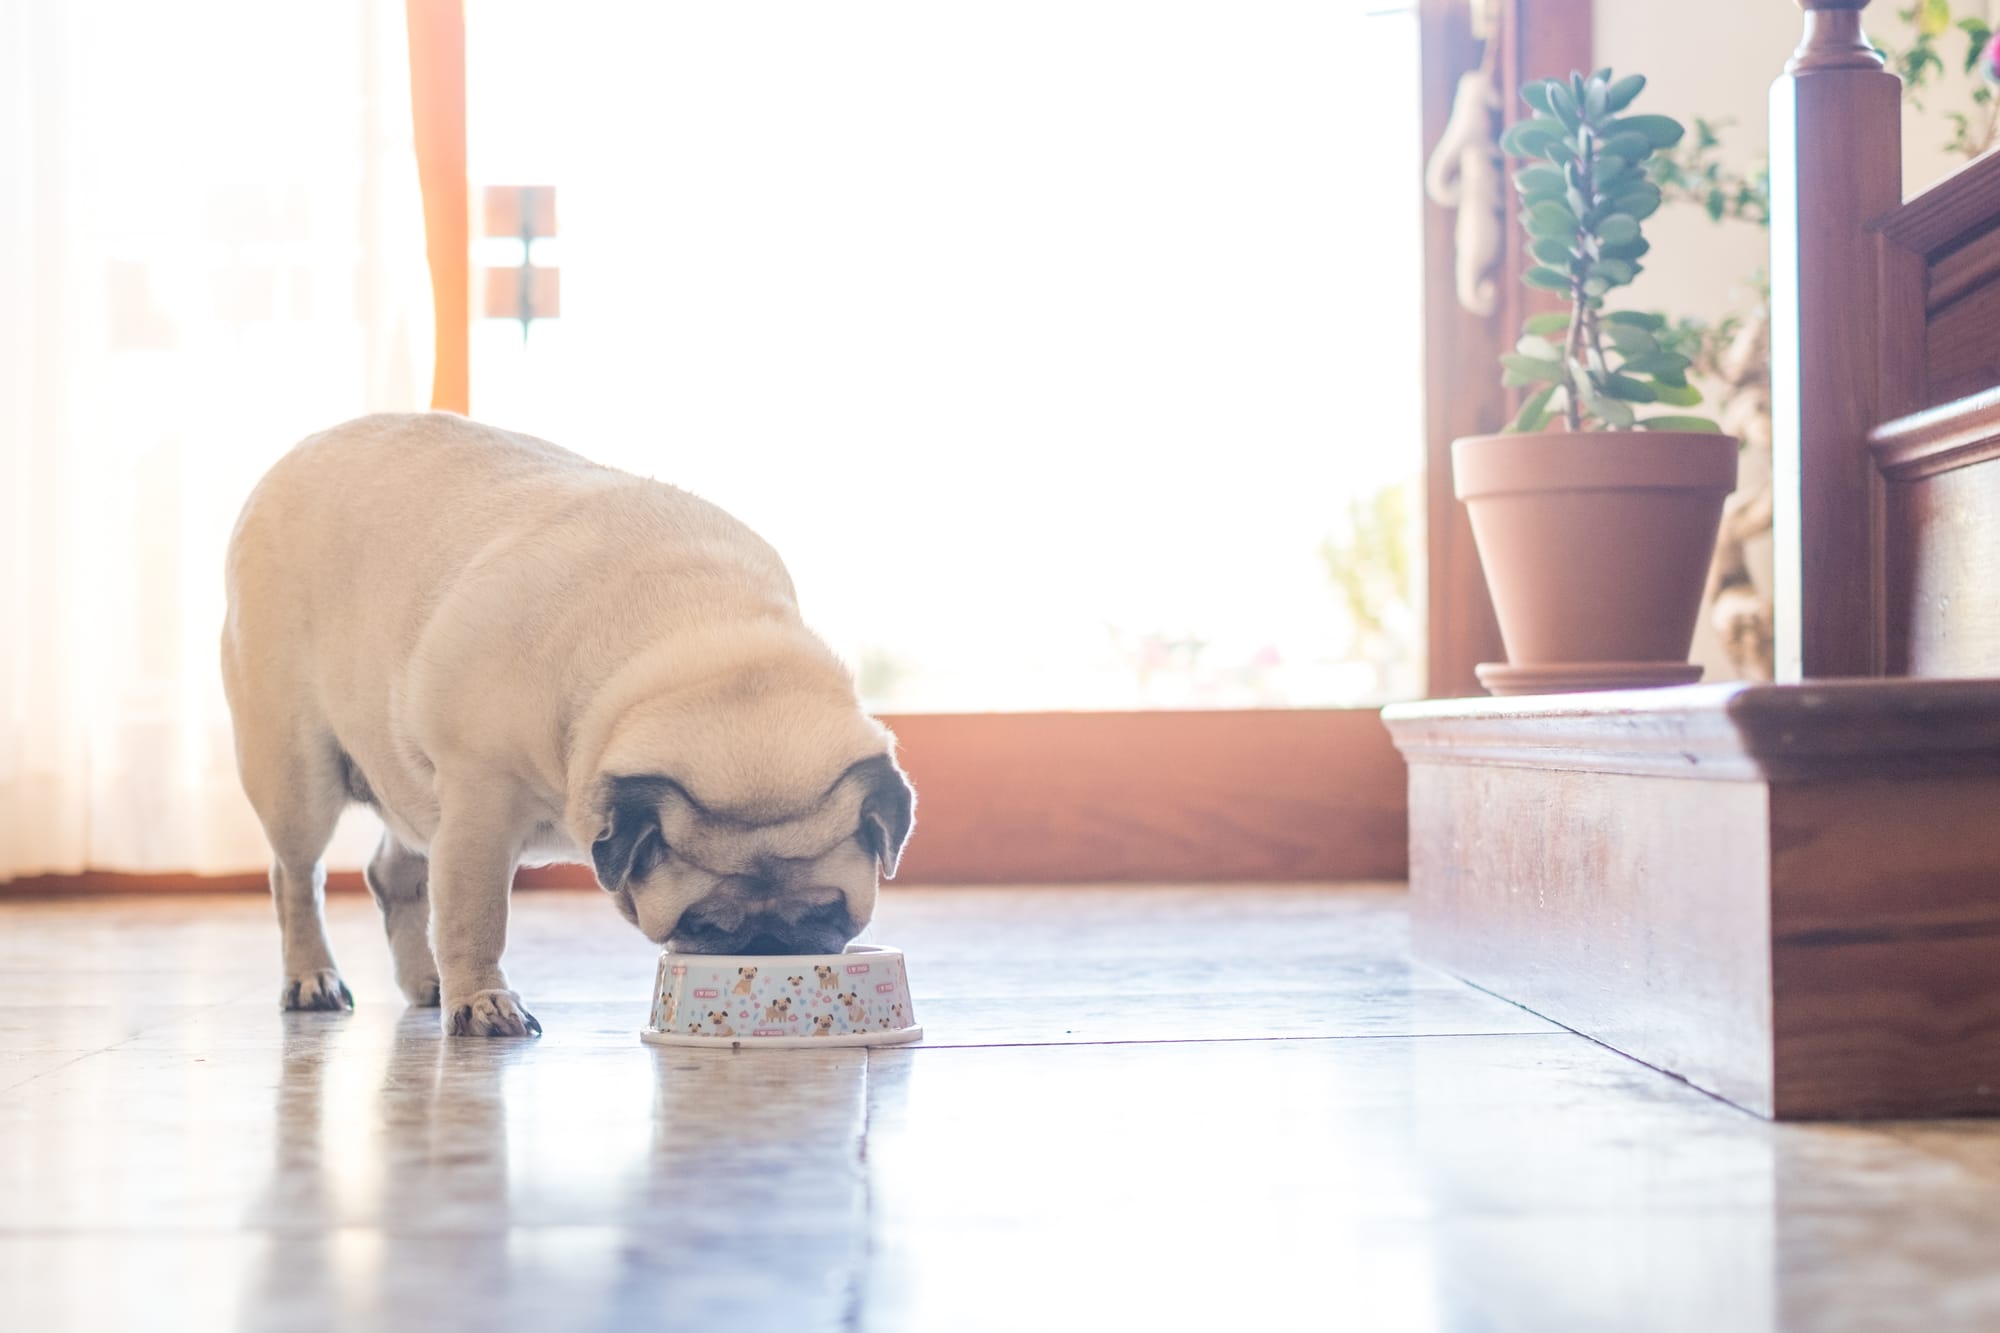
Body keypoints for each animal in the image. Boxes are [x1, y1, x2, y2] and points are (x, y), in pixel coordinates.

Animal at [221, 410, 916, 1032]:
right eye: (699, 924)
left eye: (830, 914)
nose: (768, 947)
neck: (696, 638)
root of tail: (295, 455)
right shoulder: (479, 811)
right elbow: (475, 916)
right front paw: (482, 1000)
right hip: (297, 773)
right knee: (297, 875)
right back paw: (312, 976)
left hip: (410, 783)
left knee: (395, 875)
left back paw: (426, 981)